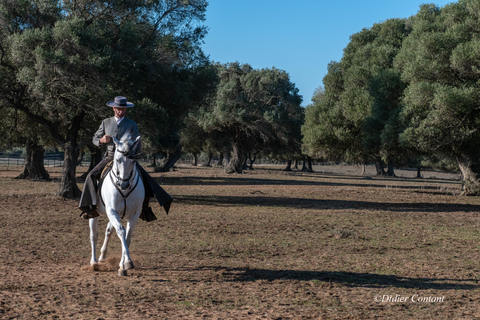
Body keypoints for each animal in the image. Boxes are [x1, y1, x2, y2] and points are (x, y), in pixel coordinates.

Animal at [88, 135, 143, 276]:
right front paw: (125, 263)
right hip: (94, 214)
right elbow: (121, 232)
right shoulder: (112, 211)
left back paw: (102, 256)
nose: (123, 184)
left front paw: (125, 263)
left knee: (108, 230)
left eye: (133, 161)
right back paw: (94, 261)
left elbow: (127, 237)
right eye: (117, 160)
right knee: (93, 235)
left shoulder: (134, 214)